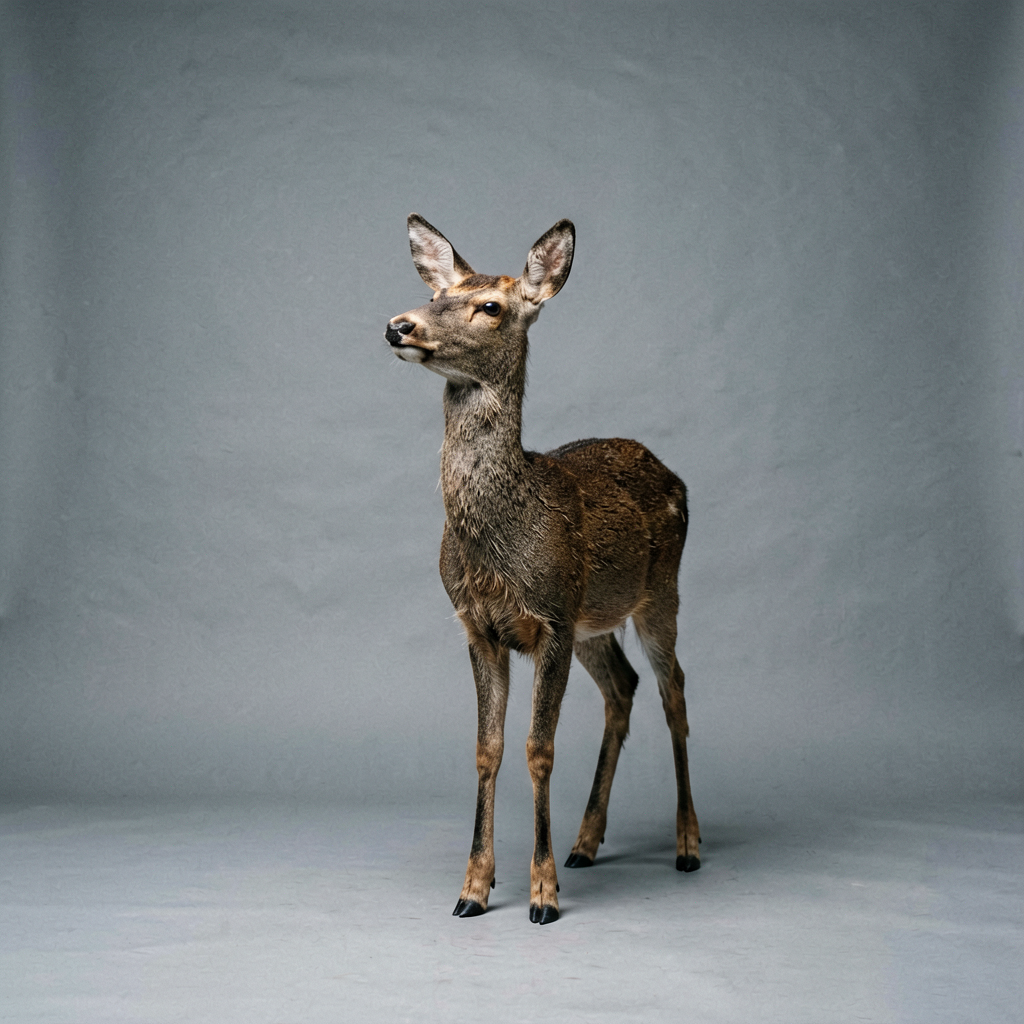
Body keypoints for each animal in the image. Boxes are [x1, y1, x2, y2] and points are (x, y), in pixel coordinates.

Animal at [384, 215, 700, 925]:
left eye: (490, 306)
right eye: (438, 293)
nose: (400, 324)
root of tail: (674, 475)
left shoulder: (551, 619)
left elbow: (539, 749)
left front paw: (543, 894)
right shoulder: (480, 626)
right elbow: (488, 748)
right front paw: (474, 888)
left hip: (660, 592)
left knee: (674, 690)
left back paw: (688, 845)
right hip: (594, 620)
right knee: (624, 687)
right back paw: (586, 842)